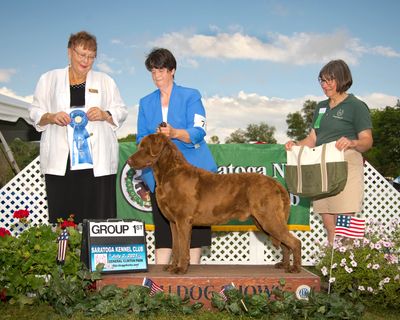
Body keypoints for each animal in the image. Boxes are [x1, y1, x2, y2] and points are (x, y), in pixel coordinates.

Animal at [128, 134, 300, 274]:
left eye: (144, 147)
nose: (129, 161)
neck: (169, 173)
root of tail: (276, 184)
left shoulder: (183, 219)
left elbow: (183, 247)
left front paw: (181, 269)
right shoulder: (173, 221)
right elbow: (176, 246)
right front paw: (172, 267)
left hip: (268, 218)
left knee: (295, 242)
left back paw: (295, 268)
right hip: (263, 221)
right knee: (285, 244)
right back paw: (284, 265)